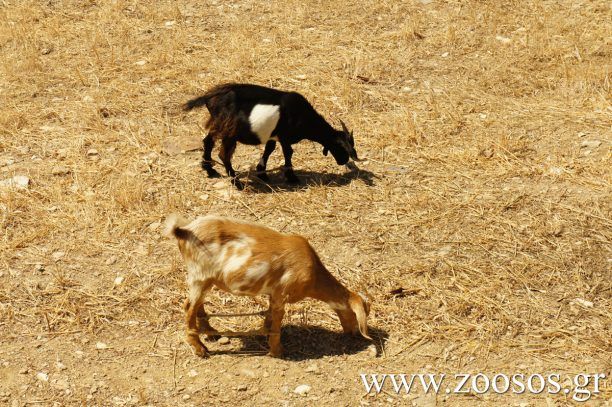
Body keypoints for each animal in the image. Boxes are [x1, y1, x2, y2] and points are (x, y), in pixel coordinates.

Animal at [165, 215, 370, 358]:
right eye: (356, 315)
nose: (354, 334)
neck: (313, 273)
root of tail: (183, 231)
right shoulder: (283, 293)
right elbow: (278, 319)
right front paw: (277, 350)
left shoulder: (273, 293)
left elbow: (270, 313)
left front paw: (264, 332)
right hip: (200, 276)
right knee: (188, 307)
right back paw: (201, 349)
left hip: (205, 280)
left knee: (196, 304)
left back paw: (211, 333)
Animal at [182, 84, 358, 191]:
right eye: (341, 146)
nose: (343, 161)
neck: (302, 115)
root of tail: (209, 97)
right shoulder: (285, 136)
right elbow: (288, 153)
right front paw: (291, 177)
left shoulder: (274, 135)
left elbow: (269, 149)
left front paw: (262, 173)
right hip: (229, 131)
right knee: (223, 154)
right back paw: (237, 183)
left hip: (218, 125)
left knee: (208, 141)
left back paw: (209, 169)